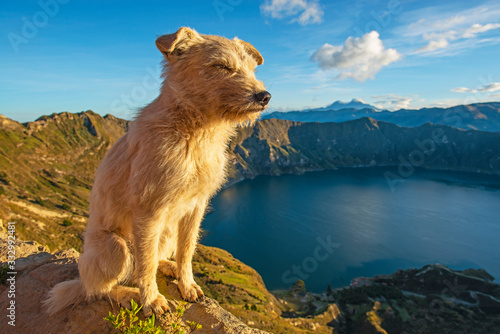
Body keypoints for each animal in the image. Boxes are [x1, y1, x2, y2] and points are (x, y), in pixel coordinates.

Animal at [43, 26, 272, 316]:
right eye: (222, 66)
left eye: (251, 69)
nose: (264, 97)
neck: (193, 132)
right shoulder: (149, 212)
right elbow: (146, 264)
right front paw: (151, 300)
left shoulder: (195, 207)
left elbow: (186, 251)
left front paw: (187, 284)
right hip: (116, 246)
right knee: (102, 288)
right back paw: (128, 294)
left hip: (167, 232)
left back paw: (168, 267)